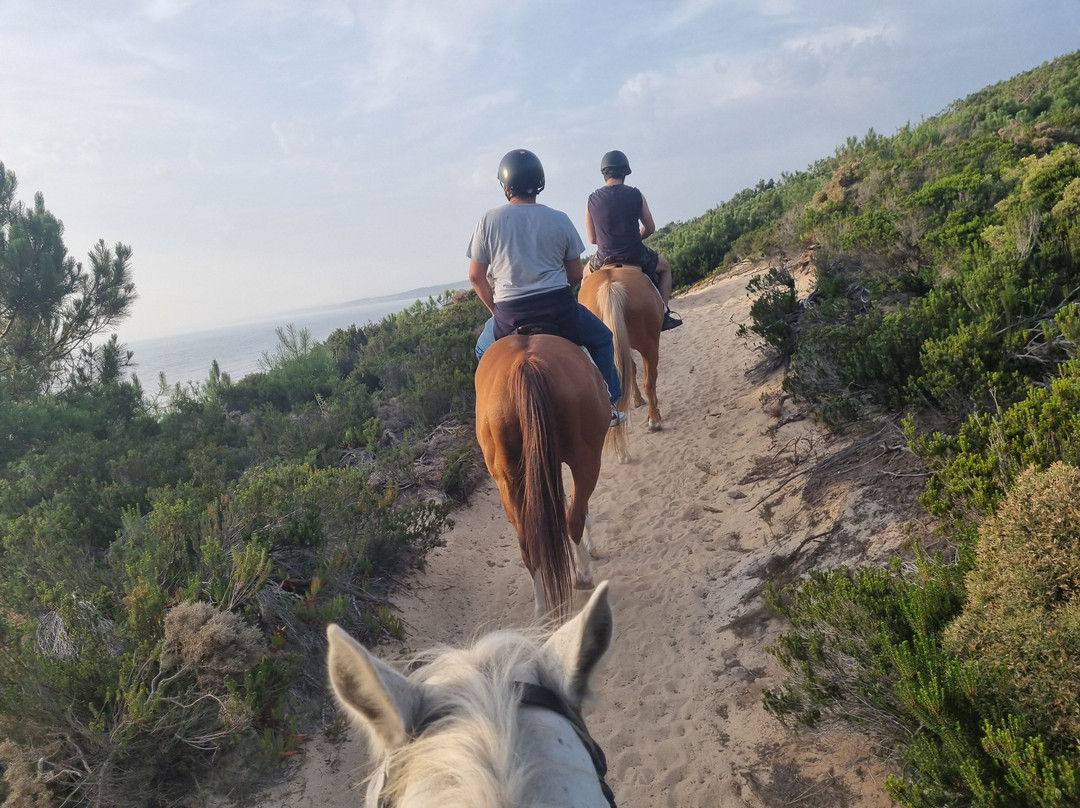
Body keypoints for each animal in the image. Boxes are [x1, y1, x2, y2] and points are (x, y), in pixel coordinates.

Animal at [474, 334, 610, 618]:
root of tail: (525, 365)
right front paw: (590, 550)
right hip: (587, 460)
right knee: (573, 518)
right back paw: (583, 575)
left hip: (509, 479)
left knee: (528, 542)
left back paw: (542, 609)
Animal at [579, 264, 665, 461]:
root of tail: (610, 286)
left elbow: (630, 370)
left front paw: (637, 400)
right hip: (649, 345)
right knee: (649, 381)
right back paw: (654, 420)